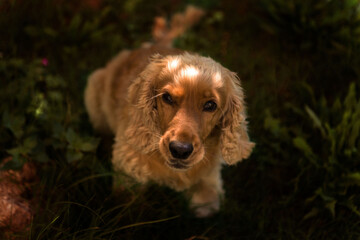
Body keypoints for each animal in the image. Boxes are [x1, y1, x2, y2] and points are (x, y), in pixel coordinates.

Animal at [84, 5, 255, 217]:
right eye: (167, 97)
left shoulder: (210, 180)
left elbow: (206, 203)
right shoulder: (128, 174)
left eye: (210, 105)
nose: (180, 150)